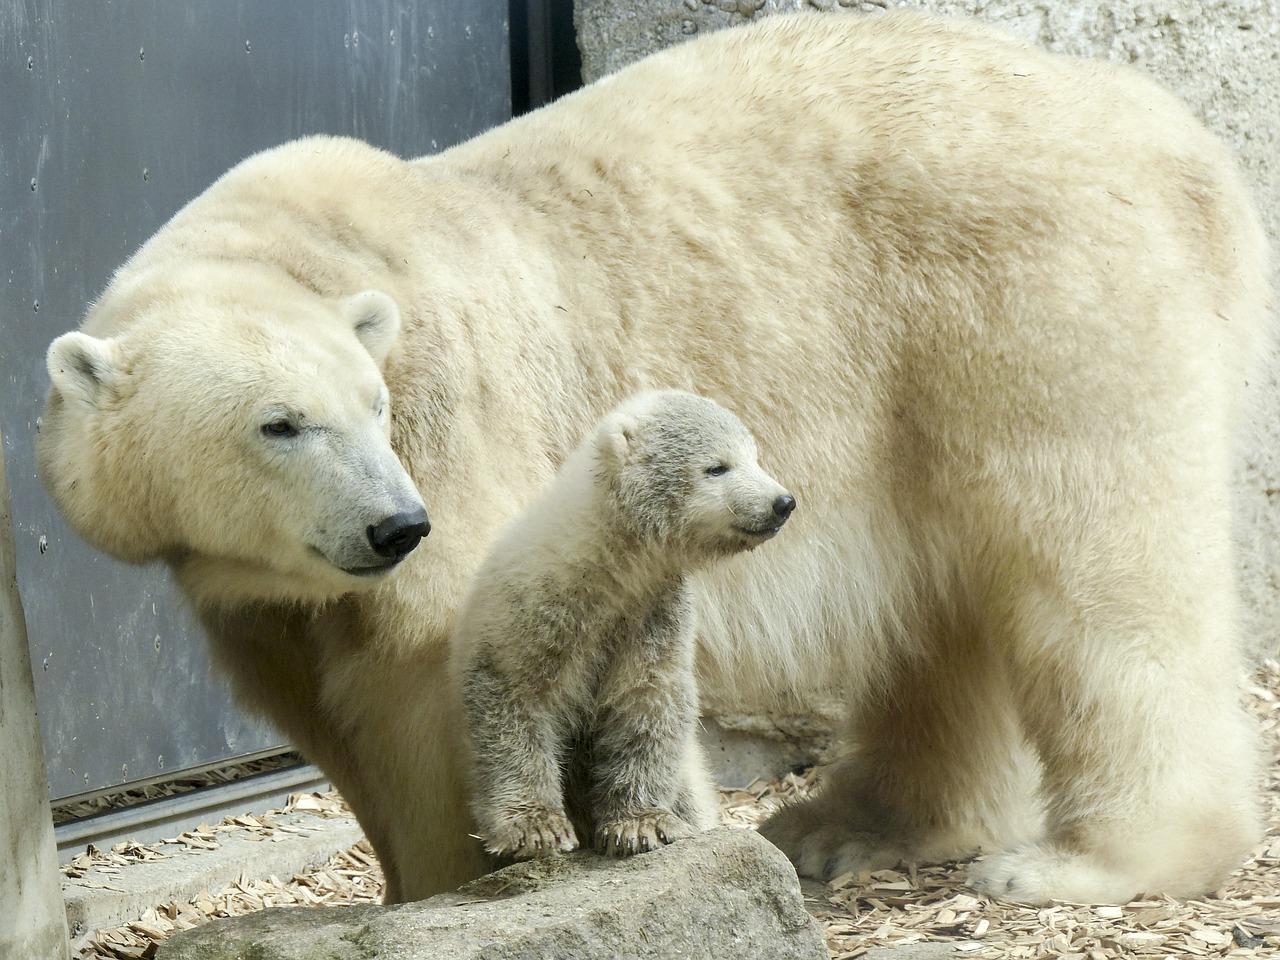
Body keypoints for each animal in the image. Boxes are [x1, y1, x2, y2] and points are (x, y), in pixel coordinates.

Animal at [35, 11, 1264, 906]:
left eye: (373, 407)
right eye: (279, 424)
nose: (393, 525)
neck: (303, 247)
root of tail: (1182, 145)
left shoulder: (460, 435)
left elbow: (443, 669)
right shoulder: (258, 597)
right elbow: (328, 706)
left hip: (1028, 298)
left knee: (1091, 563)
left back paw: (1088, 860)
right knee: (944, 599)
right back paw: (849, 826)